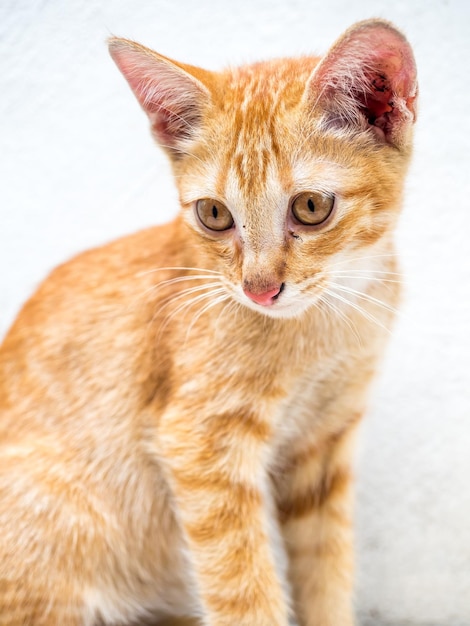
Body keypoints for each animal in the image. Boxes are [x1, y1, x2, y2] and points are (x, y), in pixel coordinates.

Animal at [0, 17, 418, 624]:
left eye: (311, 207)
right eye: (214, 214)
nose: (259, 288)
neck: (324, 327)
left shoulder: (324, 442)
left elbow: (327, 571)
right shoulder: (201, 446)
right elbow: (244, 591)